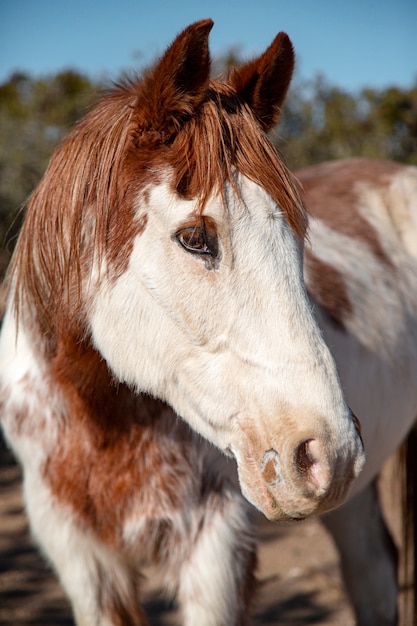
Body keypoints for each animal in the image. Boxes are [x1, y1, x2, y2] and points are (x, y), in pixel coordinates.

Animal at [0, 17, 410, 620]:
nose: (325, 455)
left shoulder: (215, 549)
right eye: (195, 238)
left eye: (298, 235)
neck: (102, 424)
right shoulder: (82, 558)